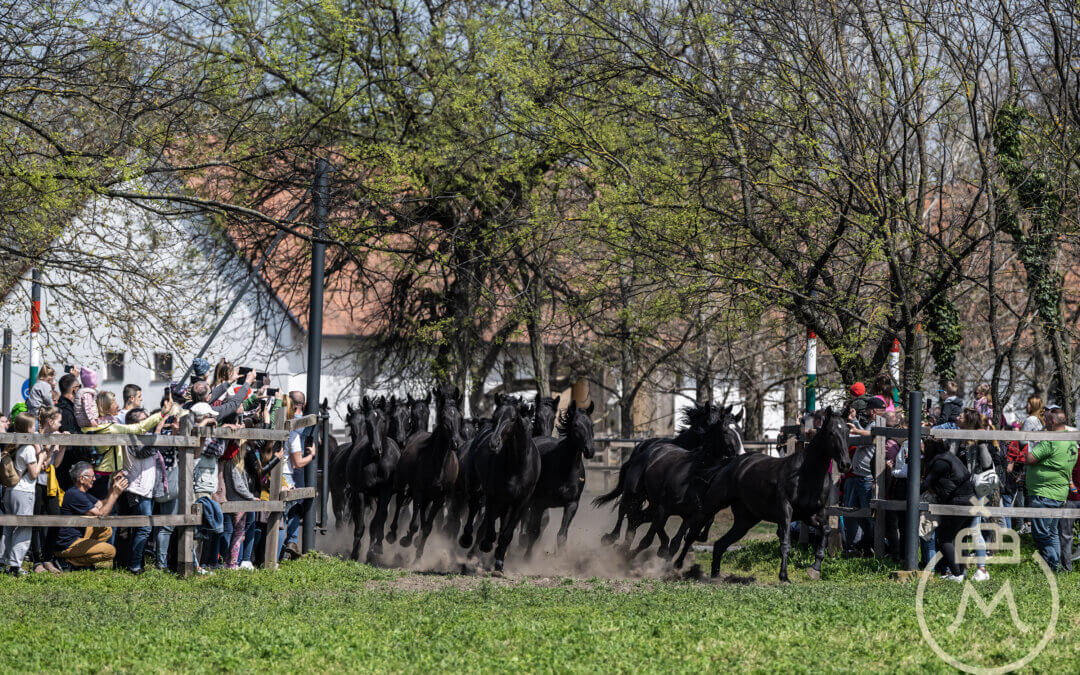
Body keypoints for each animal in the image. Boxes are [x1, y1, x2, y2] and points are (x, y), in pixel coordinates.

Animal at [455, 393, 540, 570]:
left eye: (513, 418)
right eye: (495, 416)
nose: (494, 443)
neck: (516, 466)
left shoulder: (520, 502)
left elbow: (506, 533)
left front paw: (499, 562)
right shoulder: (493, 495)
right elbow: (488, 526)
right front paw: (486, 544)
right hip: (475, 485)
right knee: (474, 508)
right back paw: (468, 541)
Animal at [520, 397, 596, 557]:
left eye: (591, 425)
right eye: (576, 425)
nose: (590, 450)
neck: (564, 469)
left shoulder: (572, 504)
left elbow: (561, 536)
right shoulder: (539, 504)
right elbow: (533, 531)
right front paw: (527, 558)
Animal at [673, 408, 851, 583]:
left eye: (847, 432)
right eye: (831, 433)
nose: (845, 464)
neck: (805, 475)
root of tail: (731, 462)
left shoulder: (811, 514)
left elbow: (826, 530)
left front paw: (815, 569)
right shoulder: (785, 512)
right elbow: (785, 543)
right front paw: (784, 577)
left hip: (746, 520)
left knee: (720, 544)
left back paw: (715, 576)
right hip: (713, 504)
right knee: (693, 529)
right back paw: (676, 564)